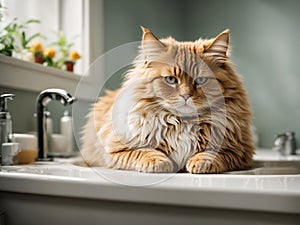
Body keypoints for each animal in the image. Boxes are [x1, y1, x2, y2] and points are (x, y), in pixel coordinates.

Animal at [81, 26, 254, 174]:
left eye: (200, 80)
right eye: (171, 79)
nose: (186, 95)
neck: (184, 123)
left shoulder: (240, 151)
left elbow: (213, 153)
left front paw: (200, 162)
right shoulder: (116, 149)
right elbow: (144, 152)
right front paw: (161, 162)